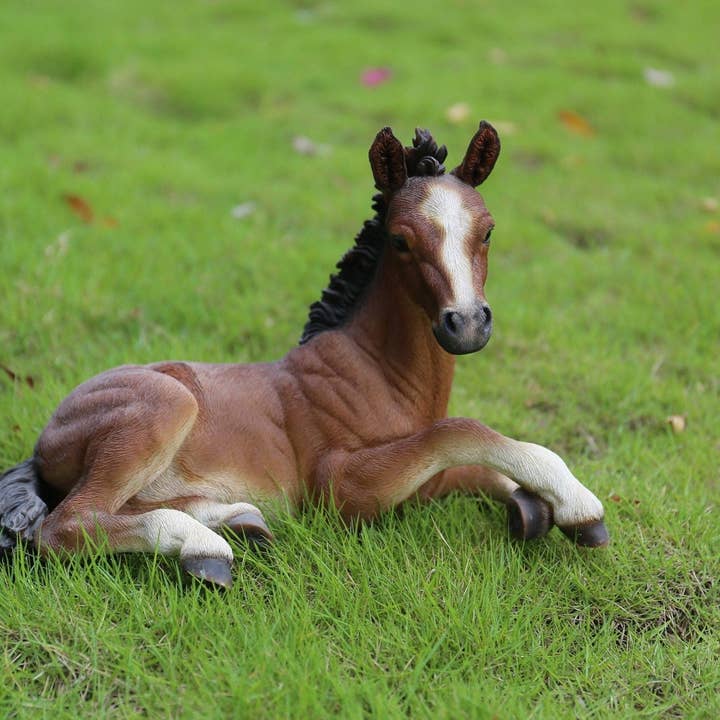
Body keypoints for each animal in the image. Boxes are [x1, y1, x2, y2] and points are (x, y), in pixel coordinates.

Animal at [0, 122, 608, 587]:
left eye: (487, 232)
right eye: (401, 240)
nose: (467, 325)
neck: (377, 371)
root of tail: (46, 439)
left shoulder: (426, 481)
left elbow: (477, 464)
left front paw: (540, 505)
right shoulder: (343, 488)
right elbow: (462, 432)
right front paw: (580, 506)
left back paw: (237, 520)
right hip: (164, 405)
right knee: (67, 523)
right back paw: (204, 547)